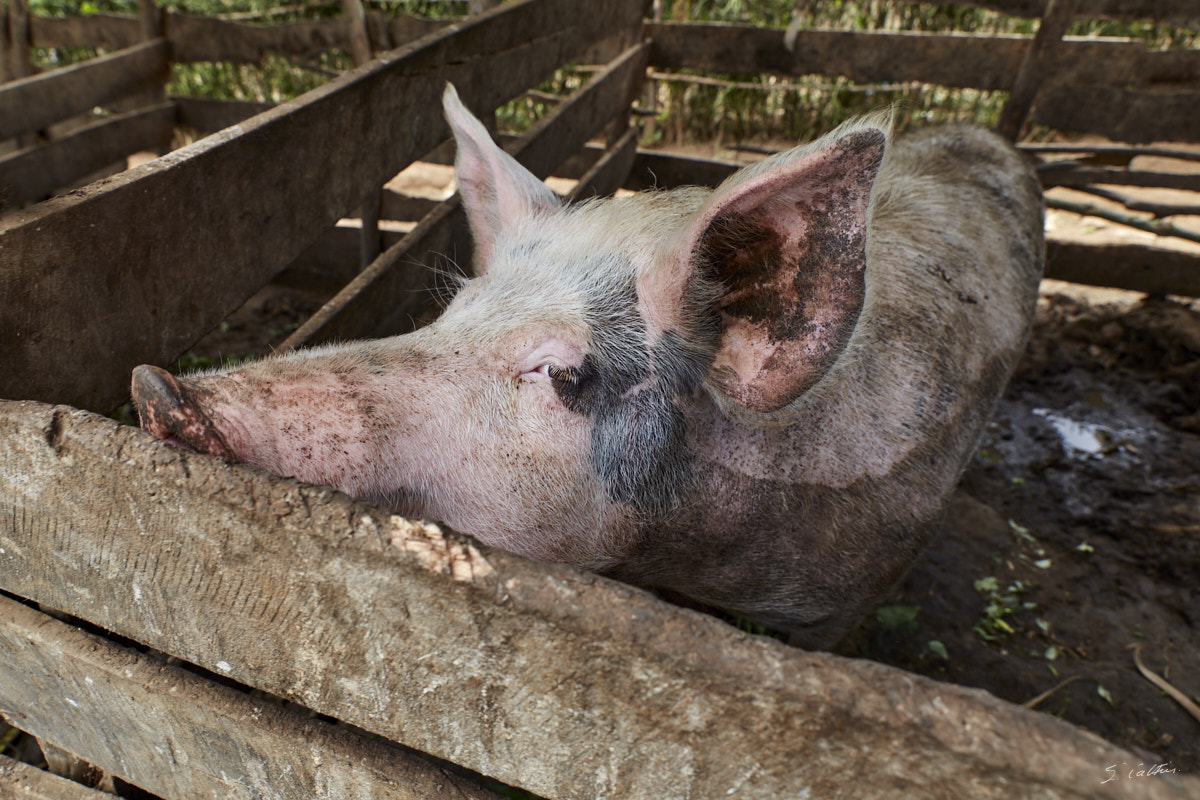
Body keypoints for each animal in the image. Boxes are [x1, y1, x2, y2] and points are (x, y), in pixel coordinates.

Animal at [133, 84, 1041, 652]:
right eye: (455, 310)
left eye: (558, 371)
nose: (158, 389)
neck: (683, 555)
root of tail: (997, 139)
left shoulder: (847, 600)